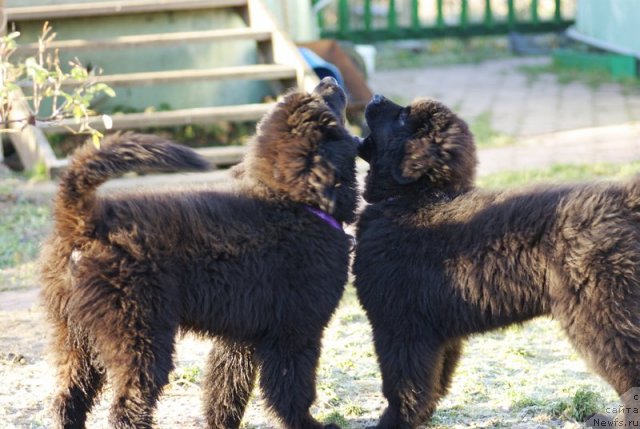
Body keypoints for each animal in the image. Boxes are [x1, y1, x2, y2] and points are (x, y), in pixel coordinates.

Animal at [42, 77, 358, 428]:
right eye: (325, 109)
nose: (328, 80)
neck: (293, 205)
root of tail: (85, 221)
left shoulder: (239, 337)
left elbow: (226, 386)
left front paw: (221, 423)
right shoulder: (296, 332)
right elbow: (291, 388)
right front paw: (306, 423)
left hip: (76, 337)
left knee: (68, 398)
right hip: (138, 335)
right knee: (126, 406)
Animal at [352, 95, 640, 426]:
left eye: (402, 116)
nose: (374, 97)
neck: (411, 200)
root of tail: (625, 202)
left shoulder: (400, 326)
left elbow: (403, 385)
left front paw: (394, 421)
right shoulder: (438, 334)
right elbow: (435, 381)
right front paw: (421, 417)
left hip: (601, 316)